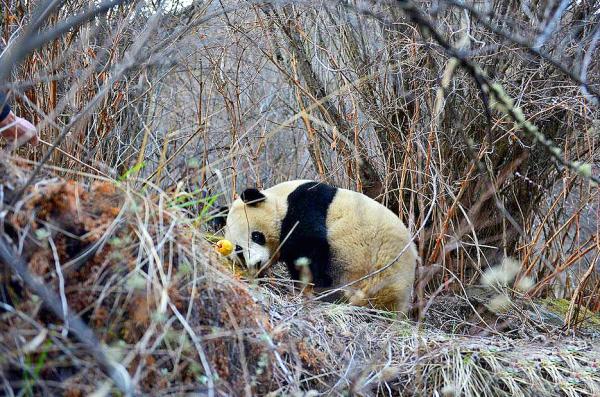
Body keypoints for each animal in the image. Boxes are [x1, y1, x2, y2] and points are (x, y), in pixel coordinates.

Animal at [223, 179, 414, 312]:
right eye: (239, 250)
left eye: (256, 236)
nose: (255, 264)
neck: (280, 200)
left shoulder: (306, 205)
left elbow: (311, 247)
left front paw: (307, 286)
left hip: (373, 273)